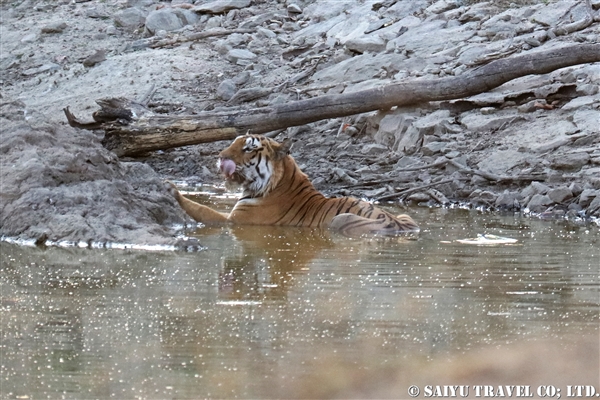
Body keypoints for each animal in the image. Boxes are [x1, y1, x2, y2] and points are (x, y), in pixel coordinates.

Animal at [166, 134, 420, 236]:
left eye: (248, 148)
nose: (220, 156)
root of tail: (402, 227)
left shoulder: (235, 222)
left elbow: (202, 209)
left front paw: (172, 188)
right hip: (406, 216)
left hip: (341, 219)